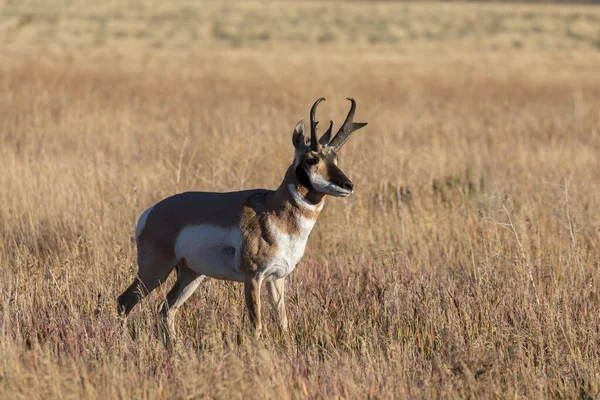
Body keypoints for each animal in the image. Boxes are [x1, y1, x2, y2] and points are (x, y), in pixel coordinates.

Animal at [118, 98, 366, 340]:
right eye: (312, 159)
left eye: (335, 158)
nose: (348, 185)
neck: (273, 208)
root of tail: (152, 212)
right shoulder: (253, 277)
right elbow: (257, 326)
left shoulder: (277, 278)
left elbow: (283, 322)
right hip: (155, 270)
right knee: (124, 301)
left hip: (191, 275)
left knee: (166, 309)